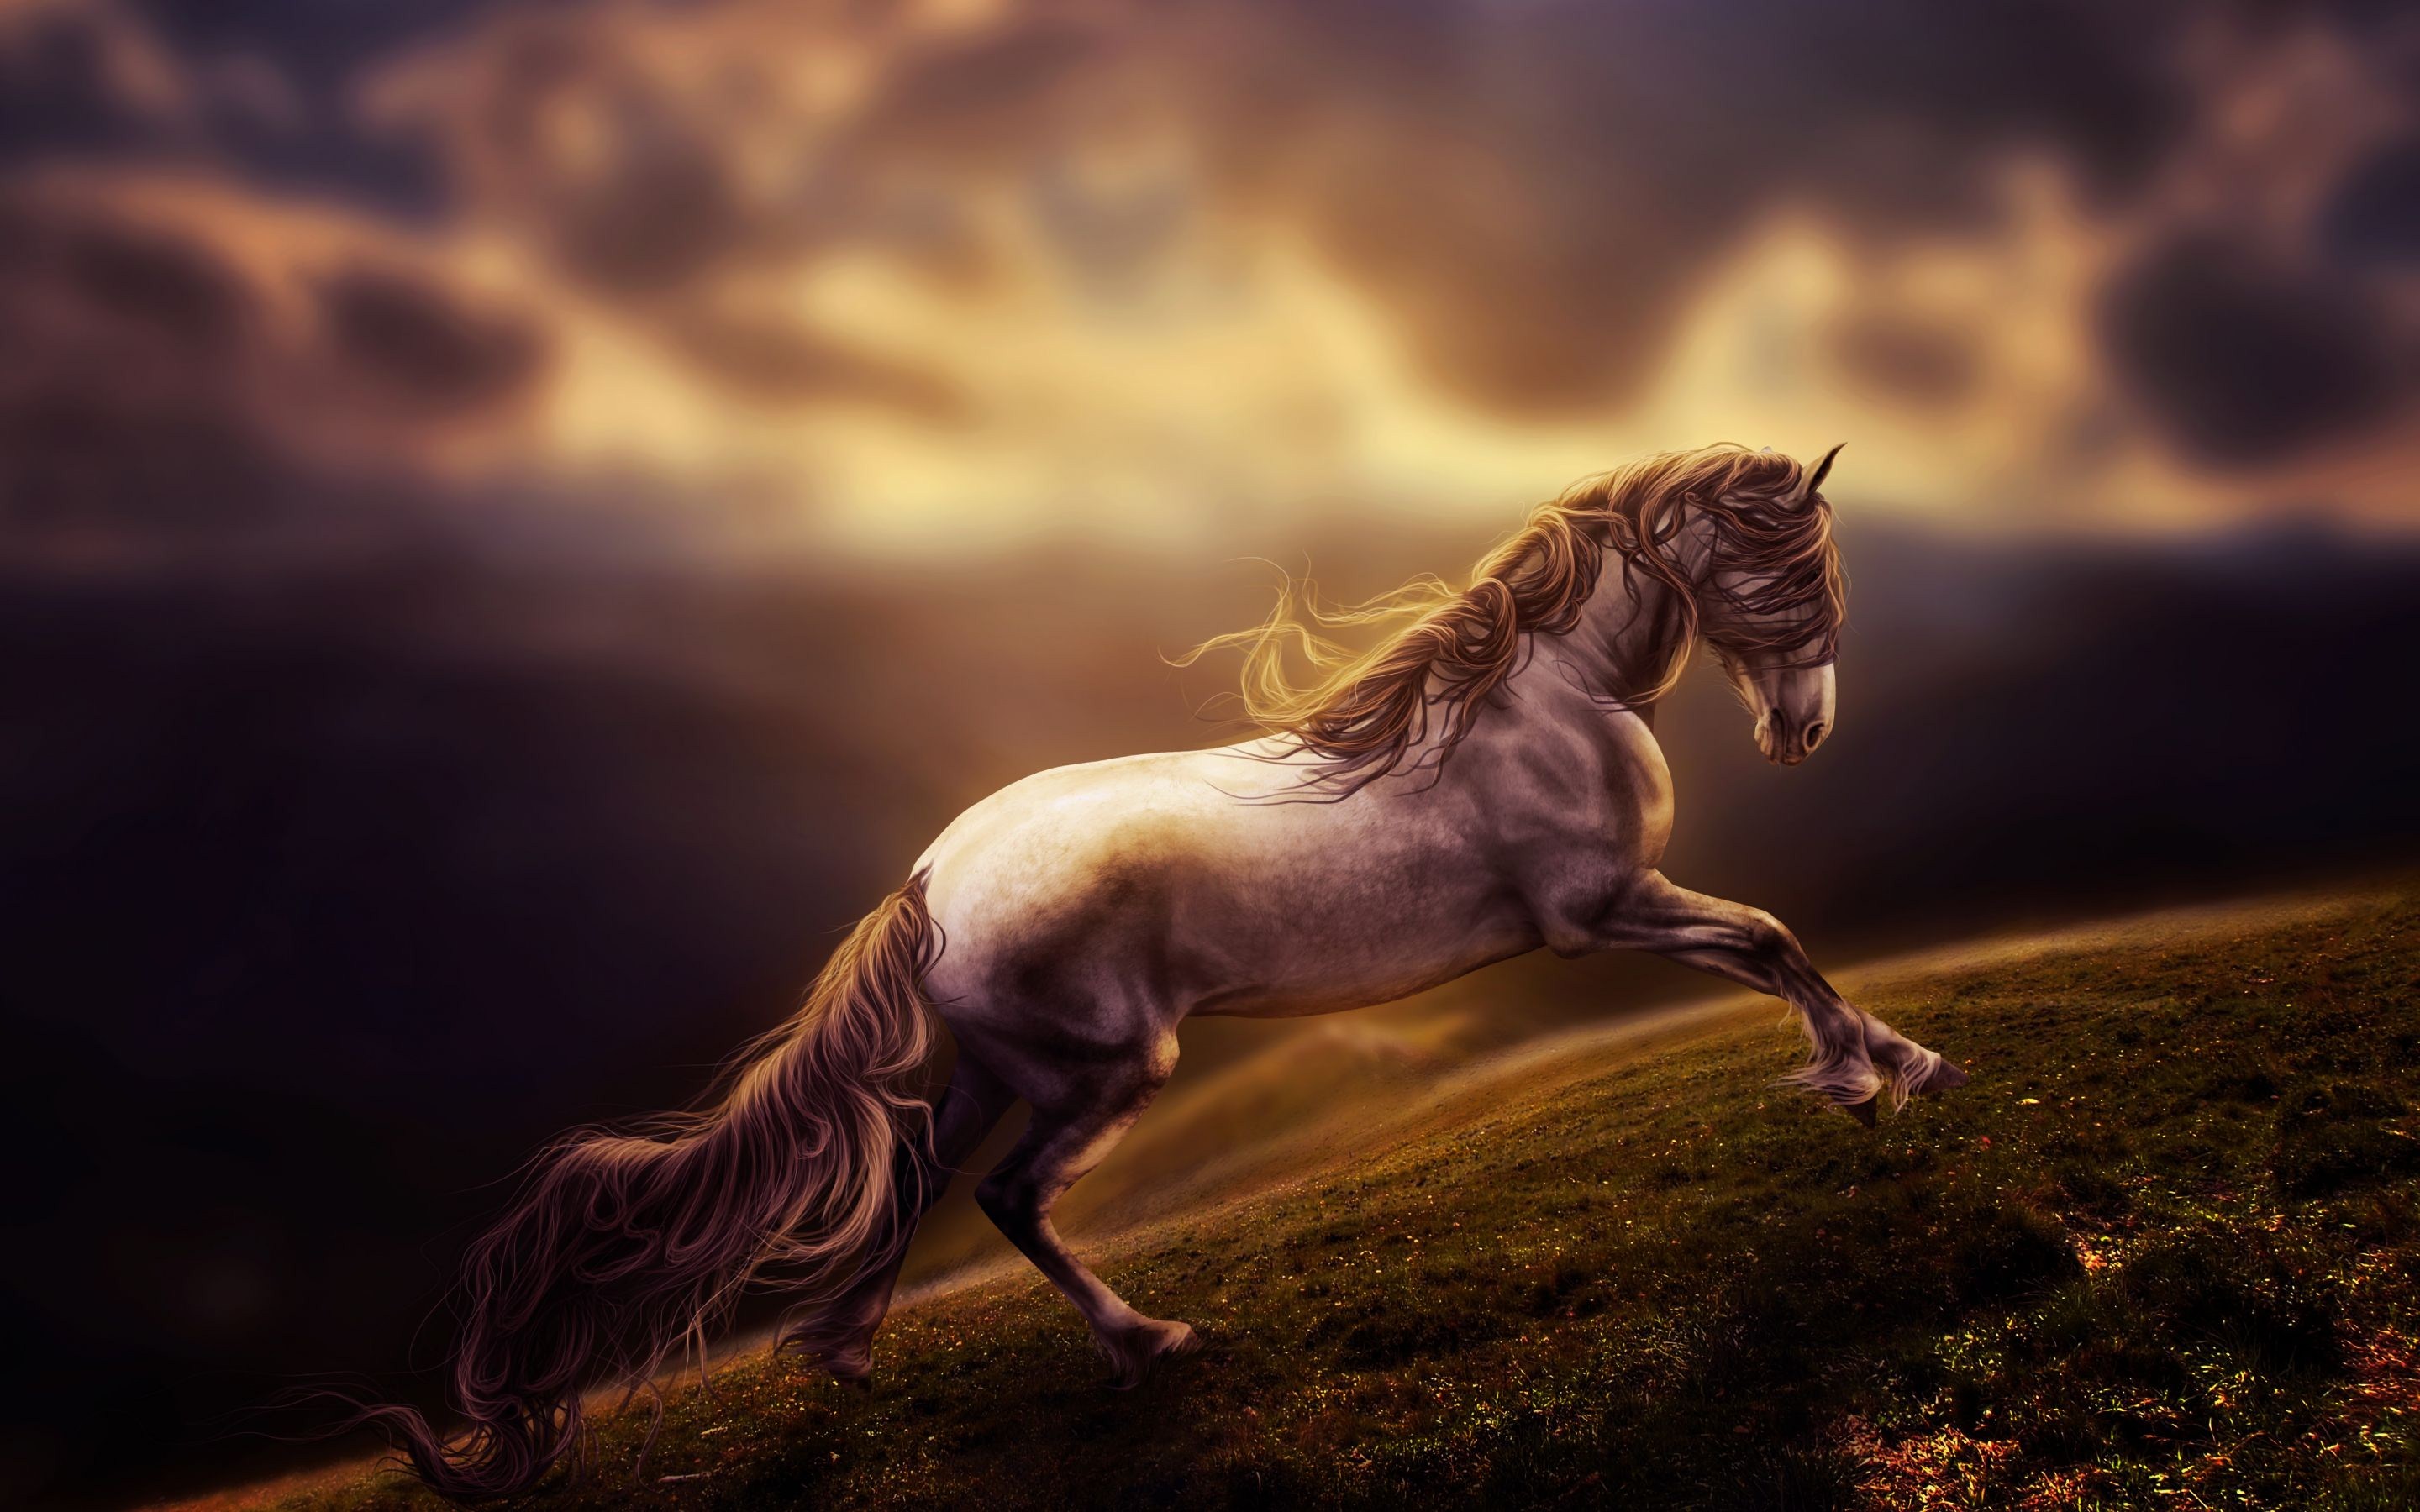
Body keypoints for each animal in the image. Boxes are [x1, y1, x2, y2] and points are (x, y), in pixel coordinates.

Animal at [366, 442, 1967, 1498]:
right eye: (1780, 569)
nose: (1803, 728)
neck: (1541, 700)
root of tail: (928, 884)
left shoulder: (1616, 910)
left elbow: (1769, 943)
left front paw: (1891, 1065)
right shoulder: (1603, 911)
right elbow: (1769, 939)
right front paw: (1875, 1073)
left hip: (992, 1072)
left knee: (917, 1182)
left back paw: (845, 1355)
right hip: (1104, 1073)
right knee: (1009, 1200)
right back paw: (1147, 1343)